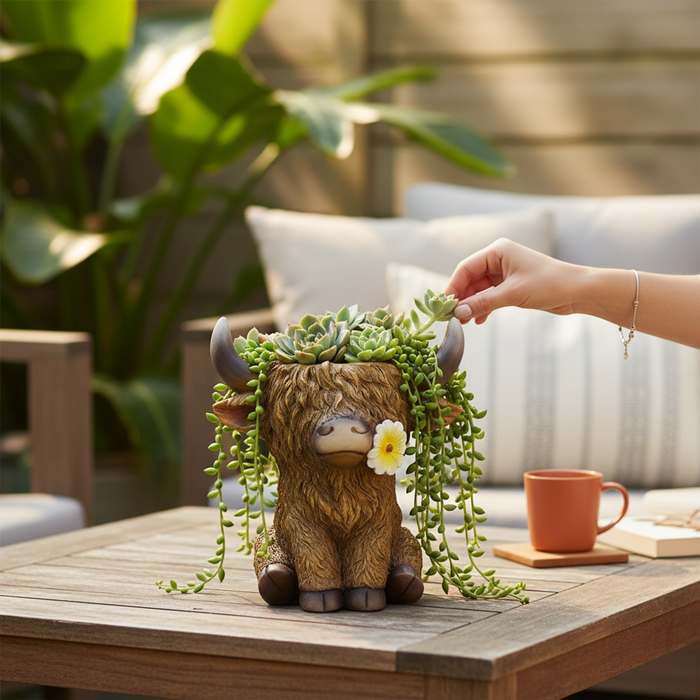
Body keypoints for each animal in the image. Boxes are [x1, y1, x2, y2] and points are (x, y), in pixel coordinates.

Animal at [209, 316, 464, 613]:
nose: (343, 428)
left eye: (380, 400)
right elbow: (314, 554)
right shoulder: (300, 522)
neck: (341, 491)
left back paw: (405, 581)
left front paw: (366, 596)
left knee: (410, 549)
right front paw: (321, 598)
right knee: (267, 552)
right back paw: (276, 581)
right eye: (300, 404)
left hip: (403, 537)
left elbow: (370, 555)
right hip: (271, 537)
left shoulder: (379, 522)